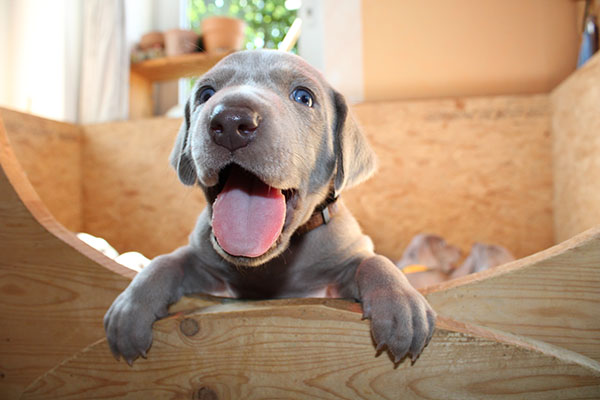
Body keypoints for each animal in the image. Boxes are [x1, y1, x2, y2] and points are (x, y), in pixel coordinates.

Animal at [104, 49, 436, 366]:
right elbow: (167, 260)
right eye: (206, 94)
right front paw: (130, 307)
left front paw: (400, 304)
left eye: (304, 97)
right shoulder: (207, 270)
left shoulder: (340, 268)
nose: (231, 121)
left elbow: (373, 261)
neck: (270, 264)